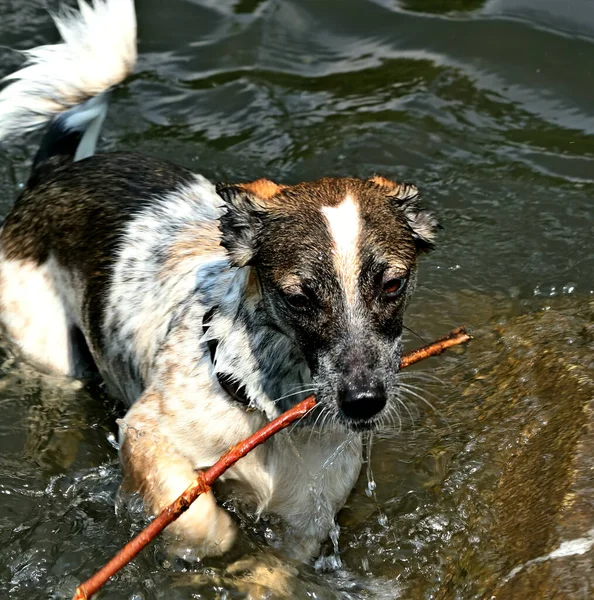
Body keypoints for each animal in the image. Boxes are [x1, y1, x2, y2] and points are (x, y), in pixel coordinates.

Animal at [0, 0, 434, 564]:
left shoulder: (306, 516)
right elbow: (205, 523)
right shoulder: (146, 434)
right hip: (48, 349)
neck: (265, 403)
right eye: (298, 297)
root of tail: (54, 175)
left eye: (392, 285)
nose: (364, 402)